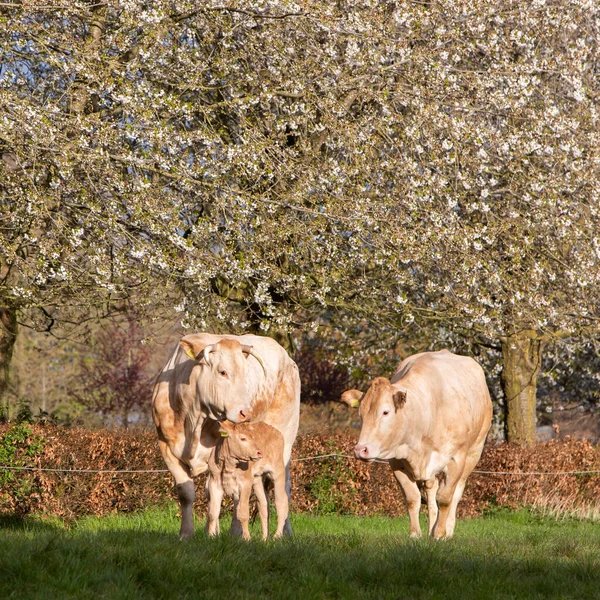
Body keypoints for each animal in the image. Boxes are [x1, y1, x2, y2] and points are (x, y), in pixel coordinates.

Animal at [150, 332, 300, 540]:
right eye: (222, 372)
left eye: (245, 373)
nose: (246, 412)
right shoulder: (166, 447)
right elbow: (188, 493)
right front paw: (189, 534)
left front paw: (226, 533)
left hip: (285, 443)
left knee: (284, 489)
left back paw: (283, 532)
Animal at [342, 346, 492, 540]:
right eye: (361, 414)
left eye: (385, 412)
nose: (361, 450)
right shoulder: (397, 461)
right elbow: (412, 498)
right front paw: (416, 534)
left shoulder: (456, 458)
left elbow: (445, 498)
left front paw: (440, 534)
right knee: (431, 490)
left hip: (474, 451)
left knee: (457, 491)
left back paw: (447, 530)